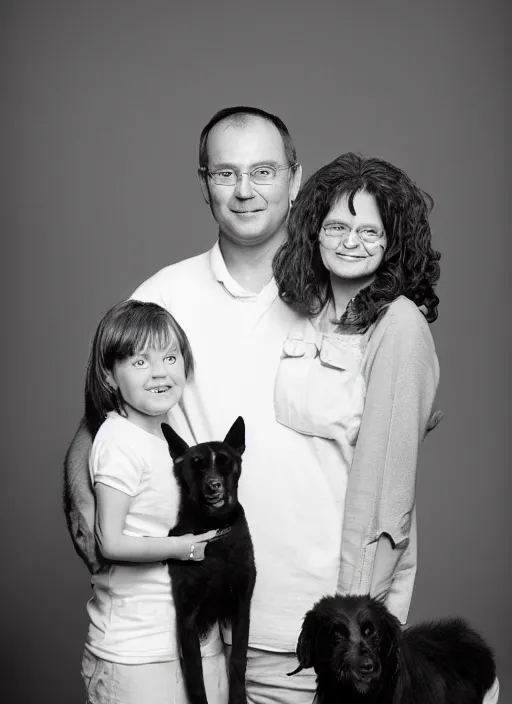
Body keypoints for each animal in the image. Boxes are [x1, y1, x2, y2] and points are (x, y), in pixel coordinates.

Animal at [162, 418, 256, 704]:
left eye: (226, 461)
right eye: (196, 464)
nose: (213, 485)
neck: (214, 530)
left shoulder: (242, 604)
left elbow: (238, 659)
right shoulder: (187, 614)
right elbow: (195, 675)